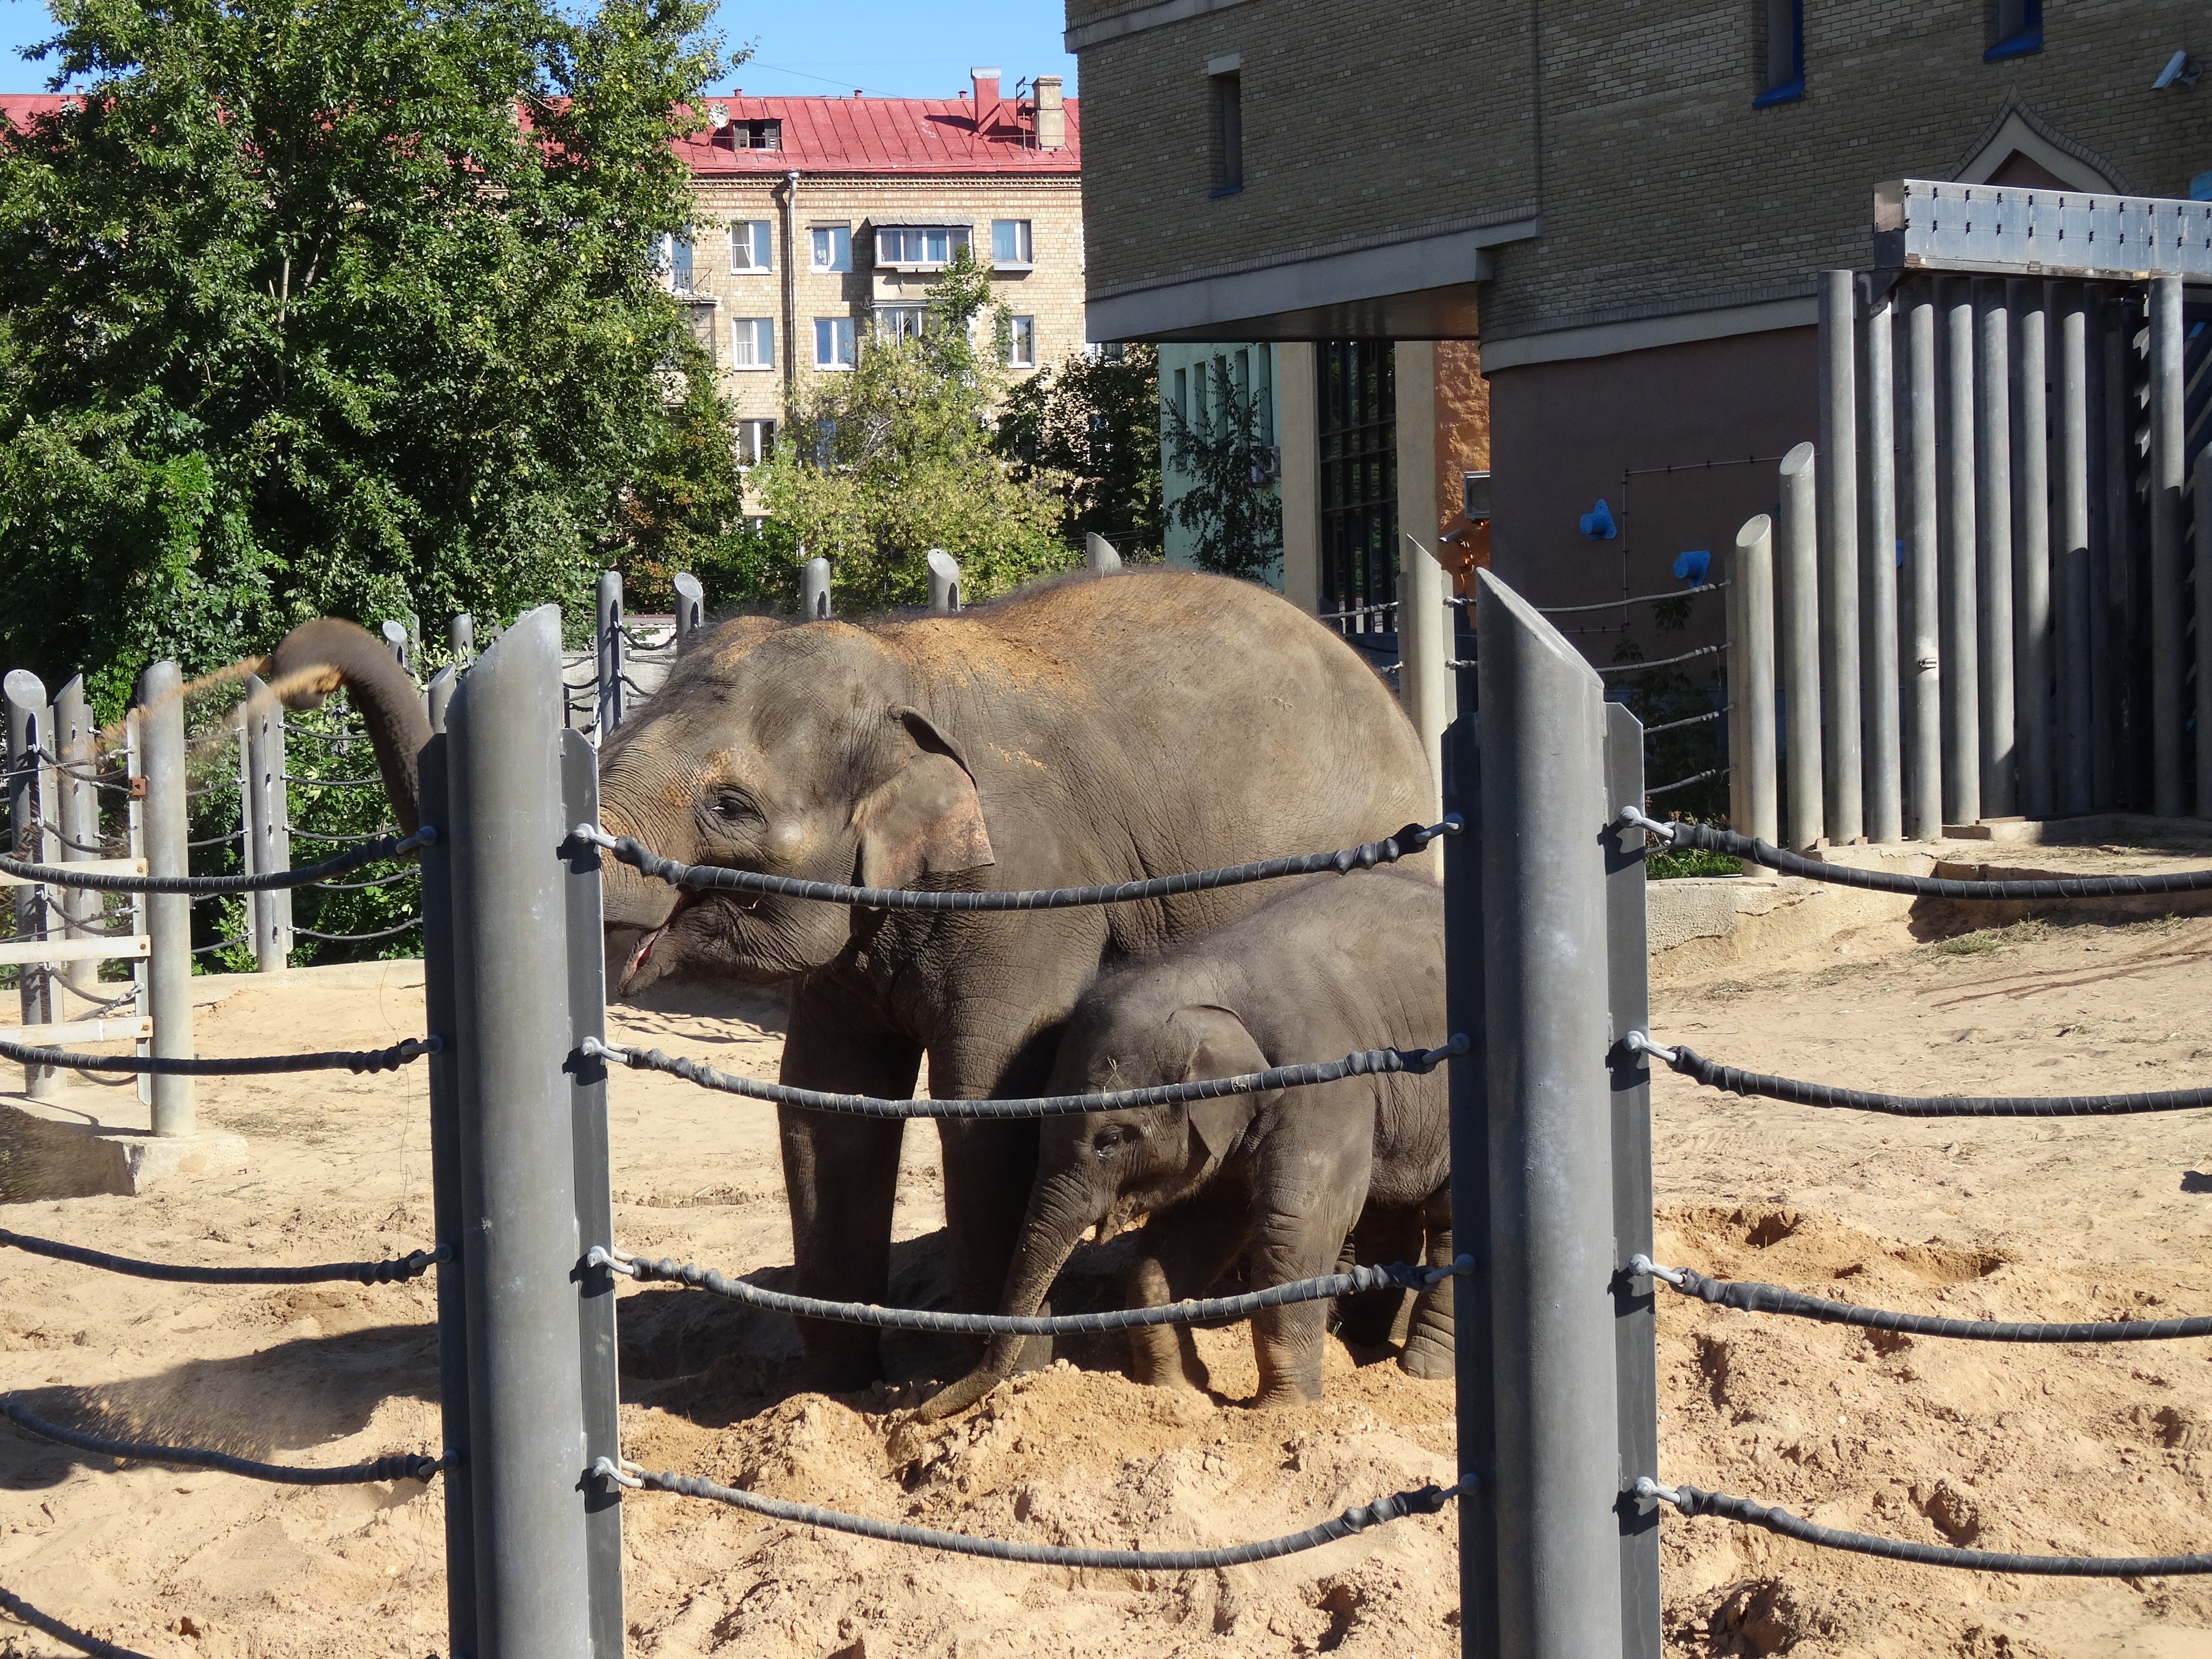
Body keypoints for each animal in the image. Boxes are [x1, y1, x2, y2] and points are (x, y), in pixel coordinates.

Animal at [911, 862, 1451, 1424]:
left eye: (1109, 1140)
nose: (920, 1411)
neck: (1215, 977)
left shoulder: (1327, 1085)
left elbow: (1298, 1225)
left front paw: (1285, 1412)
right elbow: (1196, 1230)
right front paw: (1175, 1391)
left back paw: (1423, 1371)